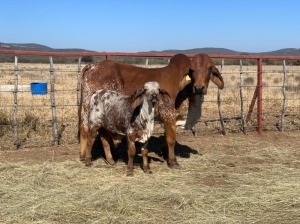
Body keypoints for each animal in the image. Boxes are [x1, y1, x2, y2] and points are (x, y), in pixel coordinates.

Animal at [78, 53, 224, 168]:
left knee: (103, 135)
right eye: (192, 70)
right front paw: (173, 162)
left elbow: (165, 139)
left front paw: (166, 155)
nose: (199, 88)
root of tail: (93, 65)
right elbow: (171, 139)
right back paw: (84, 156)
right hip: (89, 110)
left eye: (209, 69)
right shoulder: (168, 114)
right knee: (85, 129)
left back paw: (110, 160)